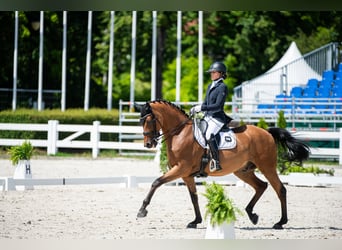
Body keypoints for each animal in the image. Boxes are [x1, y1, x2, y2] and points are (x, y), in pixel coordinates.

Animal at [136, 100, 310, 229]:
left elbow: (156, 182)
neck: (180, 133)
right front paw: (195, 221)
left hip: (267, 167)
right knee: (261, 186)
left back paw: (280, 222)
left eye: (150, 120)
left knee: (280, 189)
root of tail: (266, 132)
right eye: (141, 121)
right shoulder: (186, 175)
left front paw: (142, 210)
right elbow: (194, 197)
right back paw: (251, 214)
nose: (148, 144)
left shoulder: (180, 169)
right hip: (243, 171)